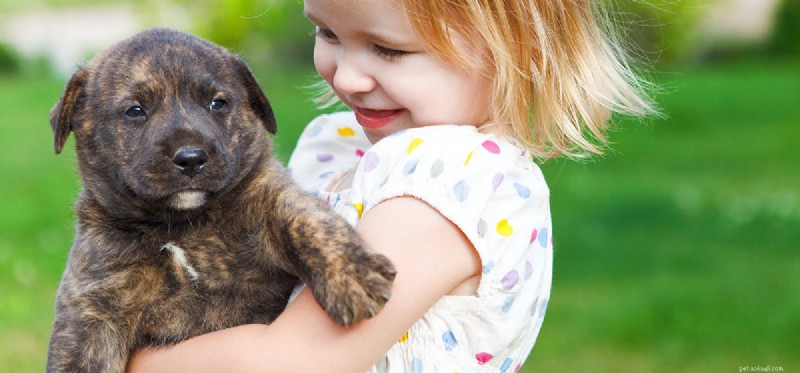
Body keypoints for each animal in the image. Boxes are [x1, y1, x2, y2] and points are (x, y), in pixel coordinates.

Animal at [45, 27, 396, 370]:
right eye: (135, 111)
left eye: (218, 104)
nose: (191, 159)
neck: (184, 226)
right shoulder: (94, 308)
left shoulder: (270, 195)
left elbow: (306, 219)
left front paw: (351, 276)